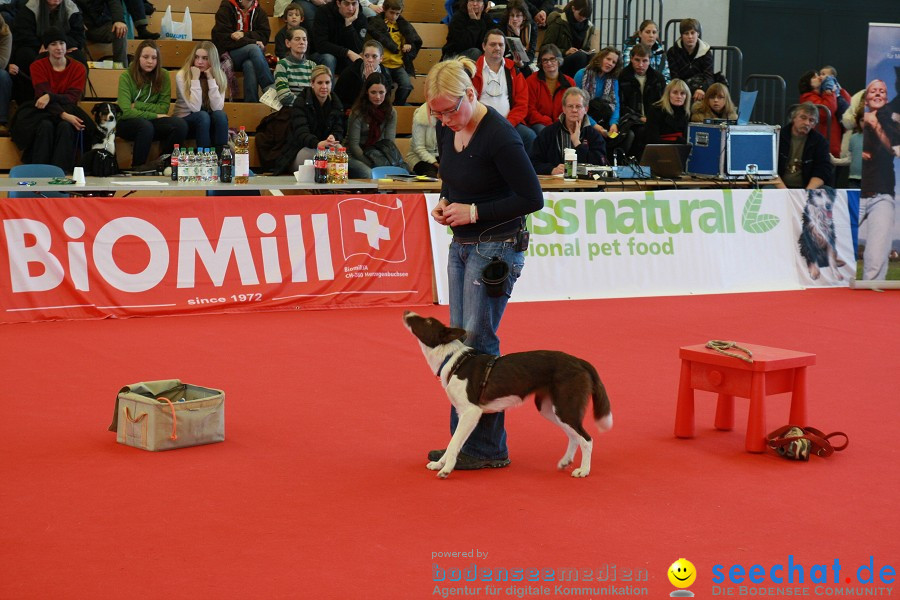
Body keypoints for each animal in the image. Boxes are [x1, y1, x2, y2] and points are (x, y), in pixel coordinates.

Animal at [404, 312, 616, 480]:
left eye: (428, 321)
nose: (407, 312)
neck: (453, 359)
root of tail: (580, 361)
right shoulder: (463, 414)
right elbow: (452, 443)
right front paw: (439, 463)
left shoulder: (471, 412)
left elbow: (454, 442)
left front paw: (446, 469)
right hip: (550, 409)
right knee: (573, 436)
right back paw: (565, 461)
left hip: (565, 408)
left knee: (587, 439)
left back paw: (584, 470)